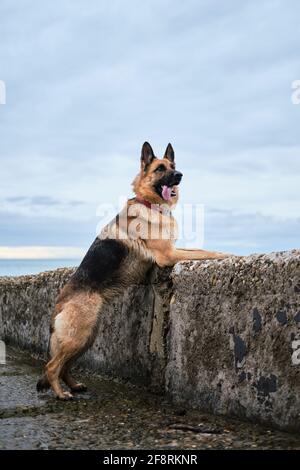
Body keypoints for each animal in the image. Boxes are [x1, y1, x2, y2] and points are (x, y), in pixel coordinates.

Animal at [37, 141, 227, 398]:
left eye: (173, 166)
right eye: (160, 169)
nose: (179, 175)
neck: (151, 205)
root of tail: (60, 301)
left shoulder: (173, 250)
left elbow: (198, 249)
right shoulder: (168, 255)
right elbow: (203, 252)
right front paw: (228, 255)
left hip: (86, 337)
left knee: (64, 365)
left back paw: (74, 385)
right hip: (78, 337)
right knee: (52, 365)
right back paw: (61, 393)